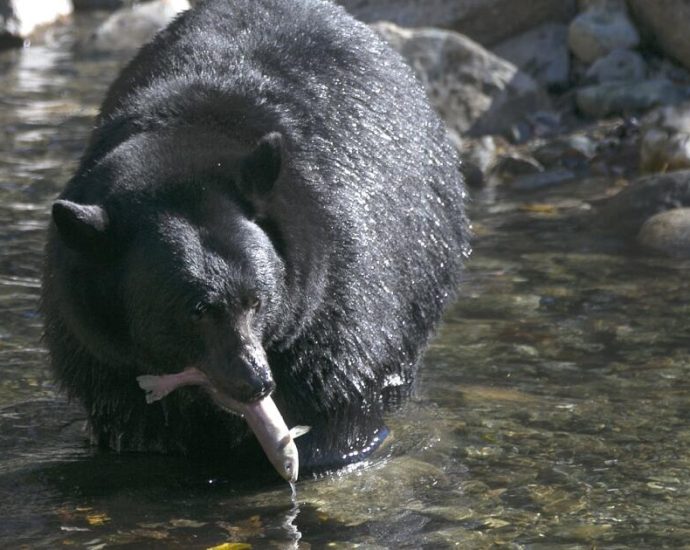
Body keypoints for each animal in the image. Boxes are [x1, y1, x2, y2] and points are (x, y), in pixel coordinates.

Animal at [41, 0, 469, 475]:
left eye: (257, 301)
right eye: (196, 310)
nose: (256, 382)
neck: (184, 141)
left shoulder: (337, 284)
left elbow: (338, 381)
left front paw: (322, 447)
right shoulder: (94, 340)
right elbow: (129, 414)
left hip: (427, 251)